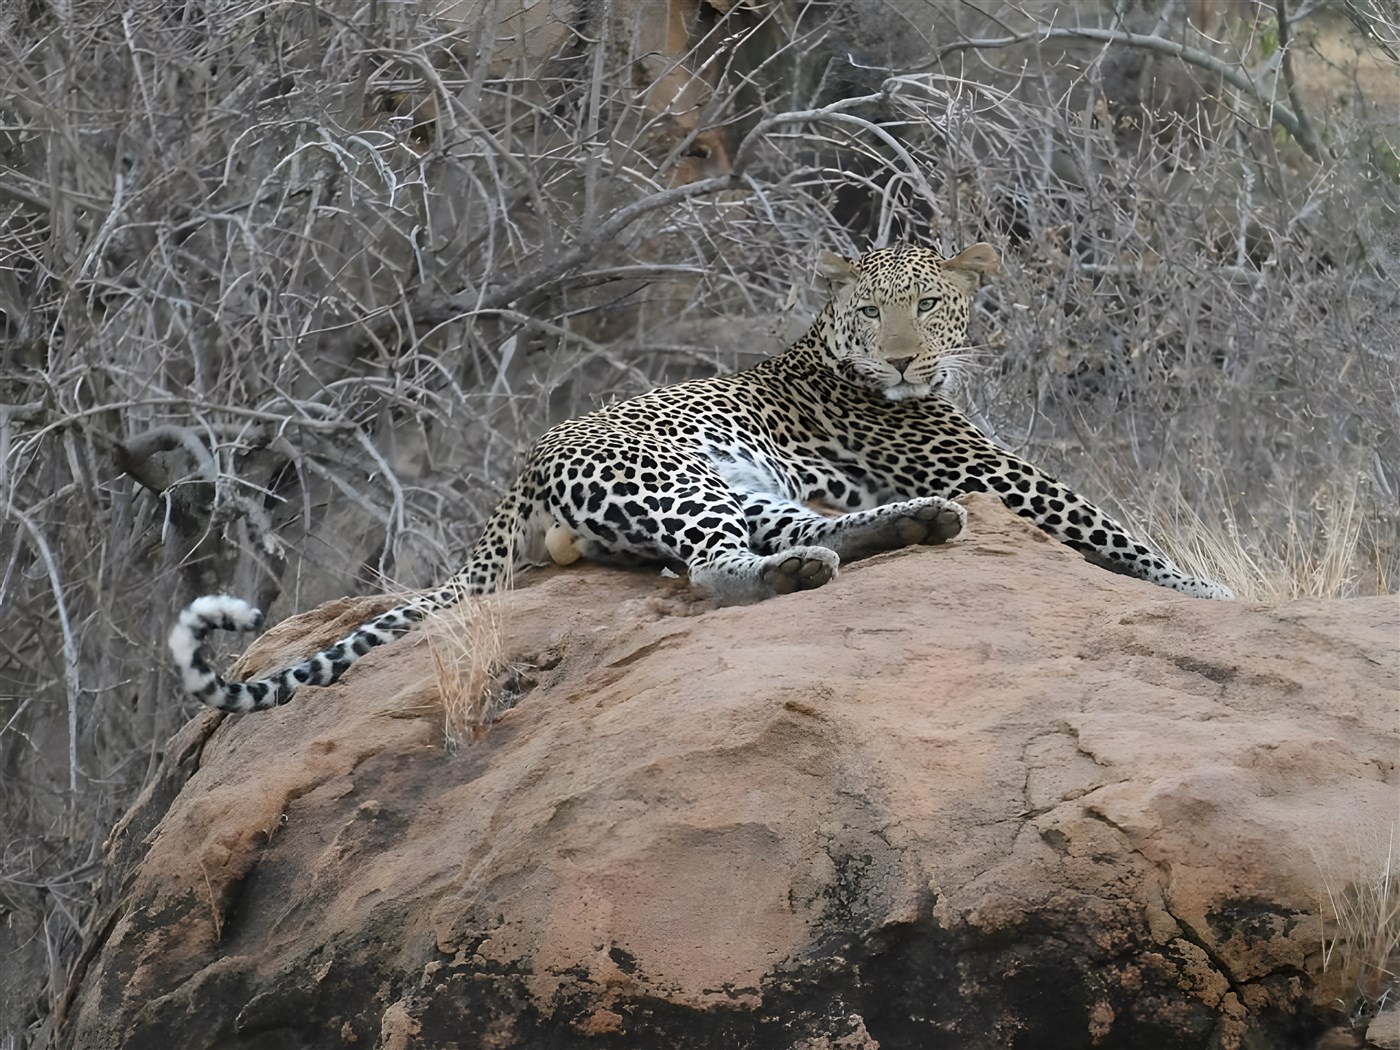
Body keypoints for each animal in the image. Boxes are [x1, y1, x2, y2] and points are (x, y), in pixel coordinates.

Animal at [170, 242, 1232, 713]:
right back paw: (811, 568)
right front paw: (1206, 591)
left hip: (740, 481)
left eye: (930, 306)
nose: (899, 361)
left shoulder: (974, 463)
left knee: (782, 533)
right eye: (874, 312)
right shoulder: (995, 469)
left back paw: (907, 528)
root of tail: (522, 466)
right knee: (715, 573)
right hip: (677, 475)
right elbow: (1110, 527)